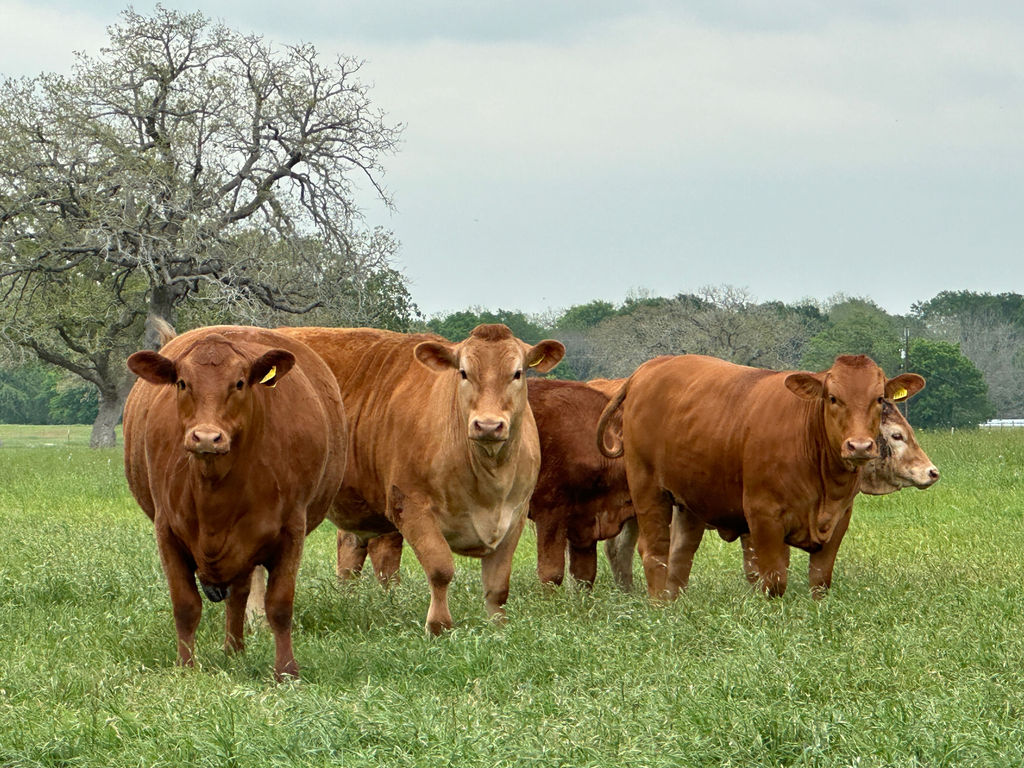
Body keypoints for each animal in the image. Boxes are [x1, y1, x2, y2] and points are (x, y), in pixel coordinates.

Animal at [123, 326, 347, 680]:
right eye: (182, 382)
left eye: (239, 383)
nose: (206, 437)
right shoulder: (166, 530)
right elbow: (185, 604)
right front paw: (186, 667)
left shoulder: (291, 530)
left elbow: (280, 605)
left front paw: (286, 671)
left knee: (239, 595)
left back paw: (235, 650)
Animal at [275, 324, 565, 634]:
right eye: (463, 372)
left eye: (517, 373)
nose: (488, 425)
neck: (488, 478)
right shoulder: (411, 506)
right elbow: (440, 569)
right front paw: (439, 626)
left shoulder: (515, 515)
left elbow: (498, 585)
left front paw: (498, 627)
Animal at [597, 354, 925, 599]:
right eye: (833, 398)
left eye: (879, 398)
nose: (859, 446)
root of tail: (648, 369)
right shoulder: (762, 517)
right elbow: (773, 579)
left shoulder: (839, 519)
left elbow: (819, 580)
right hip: (648, 491)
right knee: (653, 550)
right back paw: (659, 605)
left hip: (690, 502)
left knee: (680, 554)